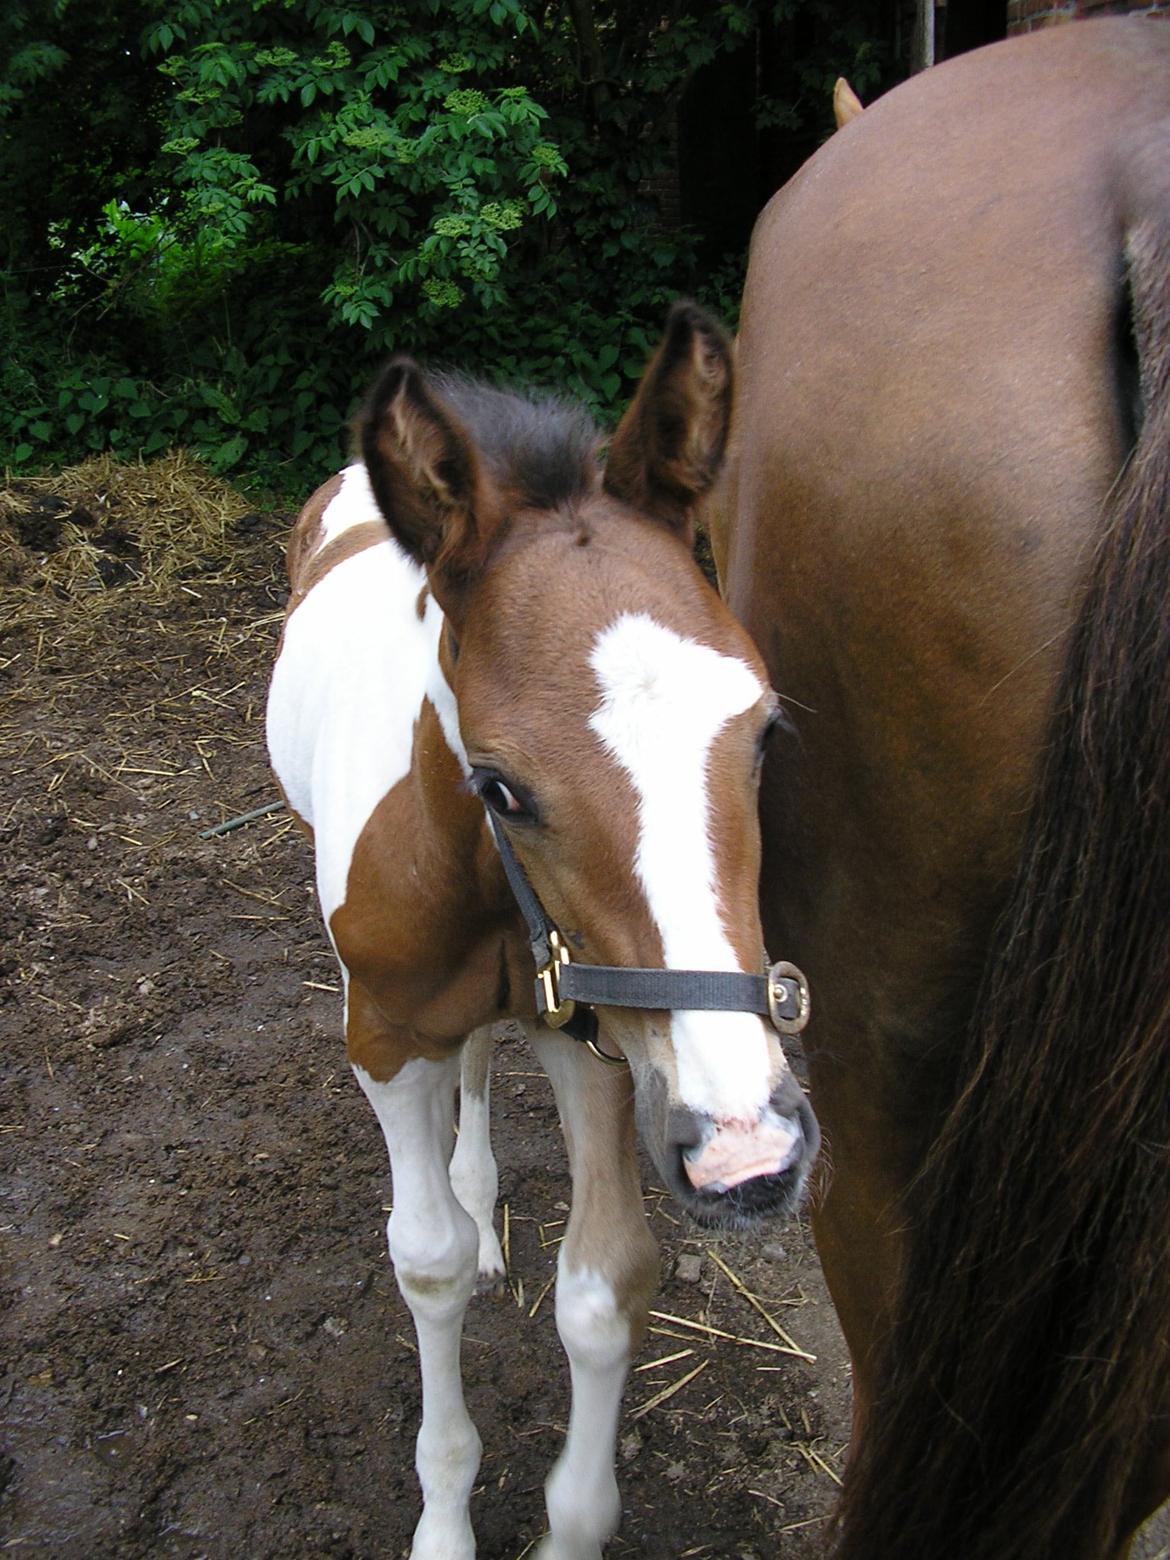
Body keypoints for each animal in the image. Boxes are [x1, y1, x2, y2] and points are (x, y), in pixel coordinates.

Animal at [268, 297, 817, 1553]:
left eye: (764, 730)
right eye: (502, 787)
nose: (750, 1151)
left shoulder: (605, 1039)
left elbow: (605, 1285)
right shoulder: (384, 1036)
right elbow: (423, 1263)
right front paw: (443, 1518)